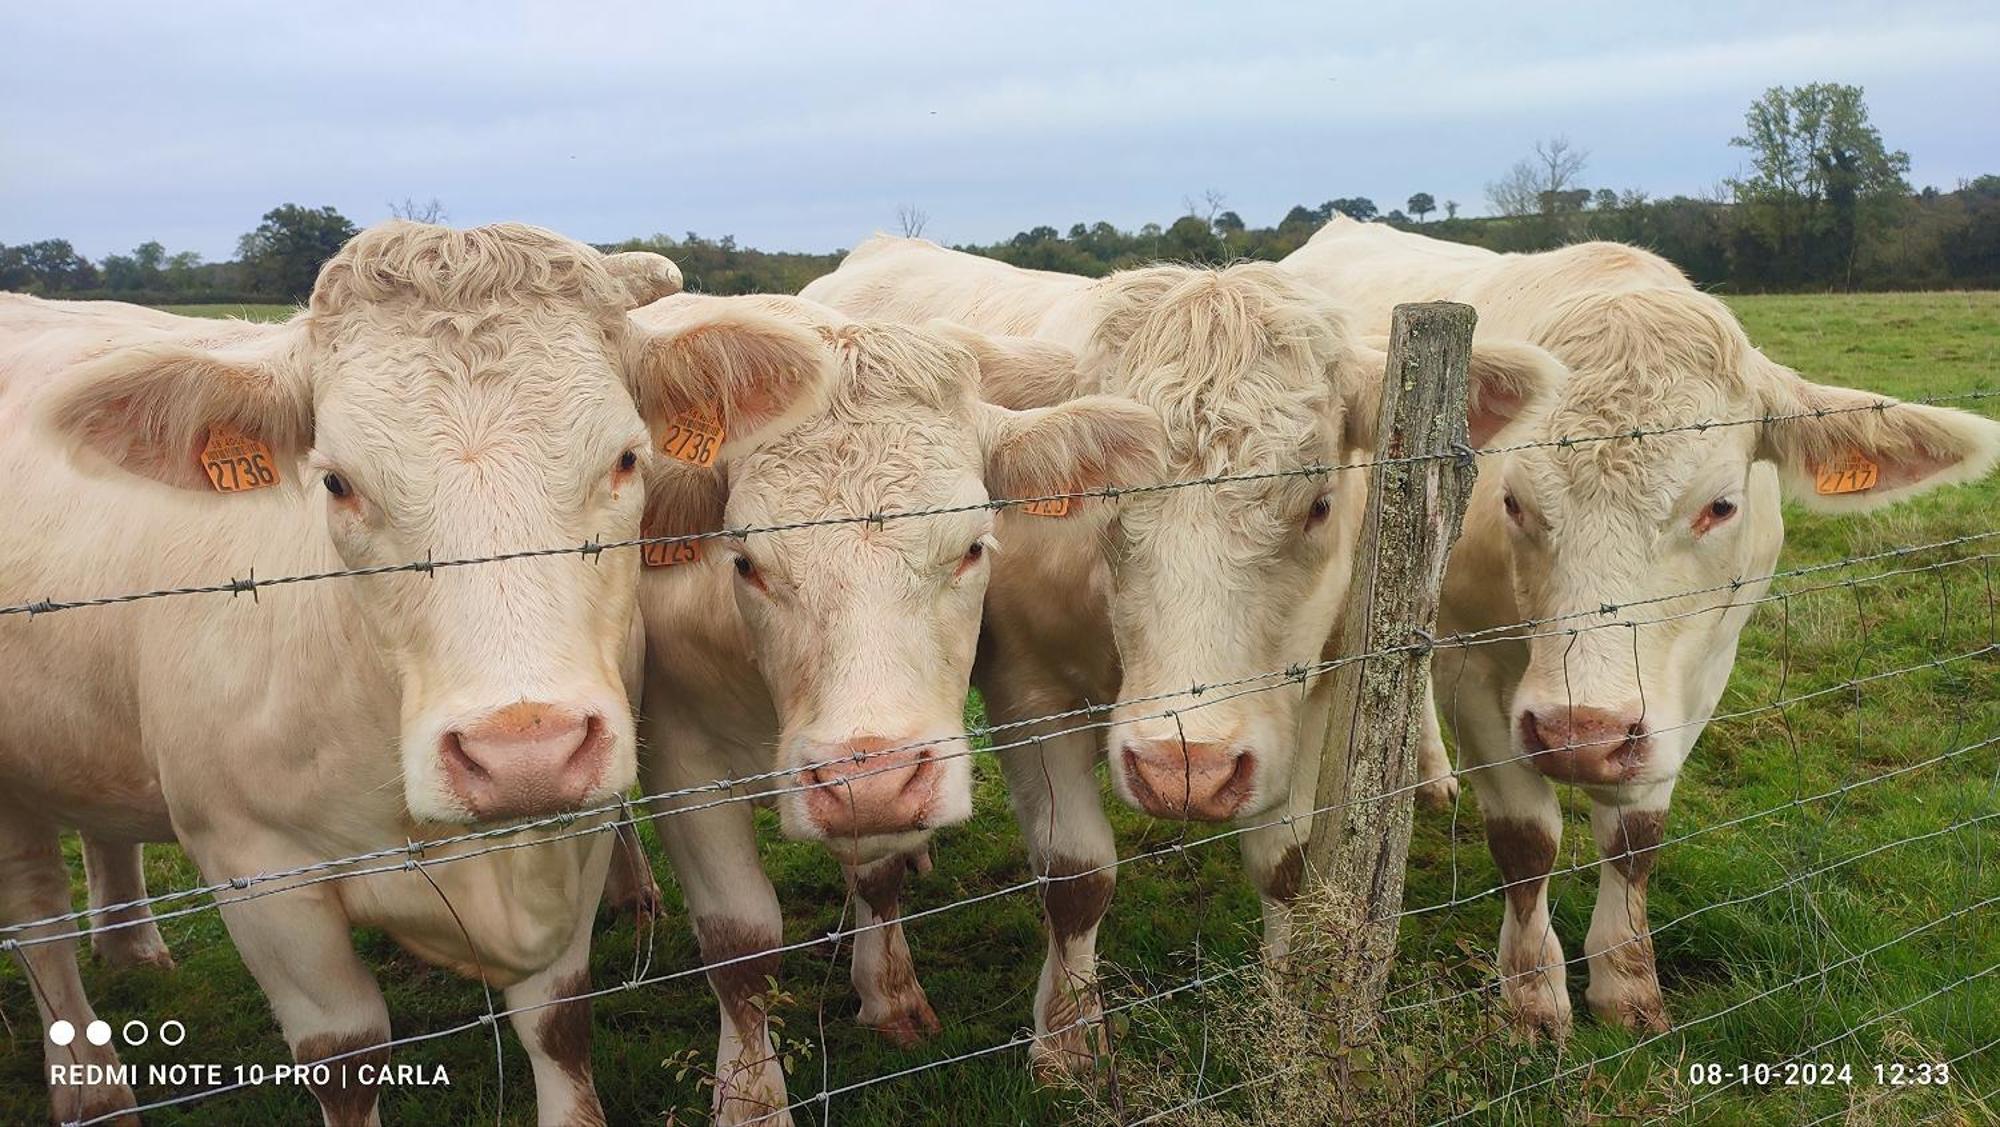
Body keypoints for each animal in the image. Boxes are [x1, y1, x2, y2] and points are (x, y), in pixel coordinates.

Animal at [0, 222, 824, 1127]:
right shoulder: (256, 870)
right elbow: (345, 1056)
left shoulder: (573, 832)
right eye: (336, 481)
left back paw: (131, 946)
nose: (523, 753)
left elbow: (558, 1020)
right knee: (38, 923)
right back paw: (91, 1084)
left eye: (626, 459)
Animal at [616, 293, 1168, 1127]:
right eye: (745, 561)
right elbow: (739, 944)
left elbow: (875, 874)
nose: (870, 780)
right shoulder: (680, 755)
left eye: (974, 546)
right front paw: (749, 1099)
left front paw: (890, 993)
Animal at [796, 237, 1560, 1071]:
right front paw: (1068, 1040)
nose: (1182, 768)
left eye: (1319, 503)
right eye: (1111, 497)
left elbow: (1285, 865)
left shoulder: (1313, 693)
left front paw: (1286, 1013)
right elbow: (1076, 876)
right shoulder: (1026, 691)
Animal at [1280, 217, 2000, 1039]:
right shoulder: (1473, 662)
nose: (1582, 734)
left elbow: (1635, 837)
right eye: (1514, 500)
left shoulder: (1700, 673)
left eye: (1720, 505)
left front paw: (1626, 982)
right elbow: (1527, 838)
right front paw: (1533, 994)